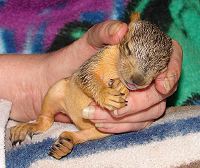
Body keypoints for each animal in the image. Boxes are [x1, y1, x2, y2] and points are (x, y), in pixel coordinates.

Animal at [9, 14, 172, 159]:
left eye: (162, 67)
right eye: (127, 48)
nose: (137, 80)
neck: (116, 68)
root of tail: (75, 119)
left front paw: (121, 87)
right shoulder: (99, 57)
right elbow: (86, 75)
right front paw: (106, 95)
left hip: (101, 130)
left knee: (82, 136)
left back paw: (66, 143)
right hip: (55, 91)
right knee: (46, 119)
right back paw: (28, 127)